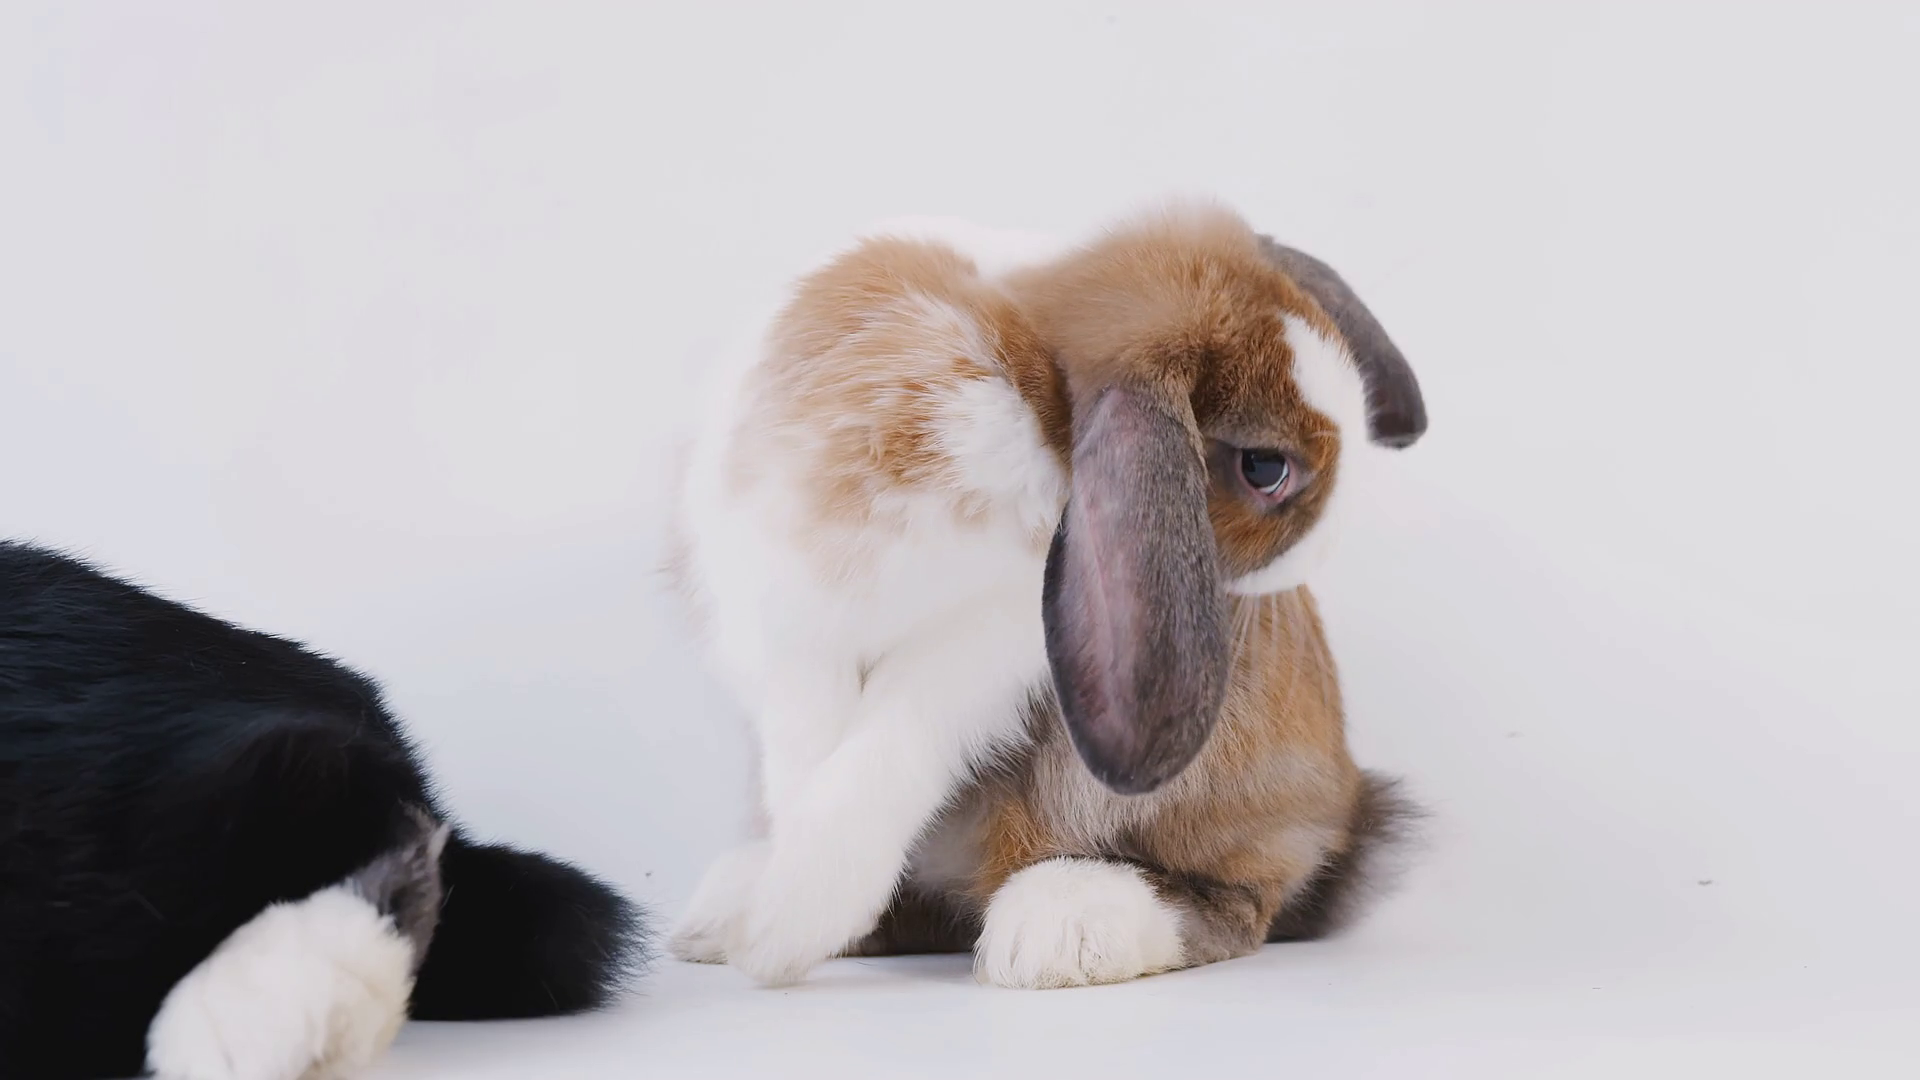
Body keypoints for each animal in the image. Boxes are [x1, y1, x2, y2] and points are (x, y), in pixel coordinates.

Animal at [668, 201, 1425, 988]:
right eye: (1266, 468)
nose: (1327, 546)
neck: (1020, 378)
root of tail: (1347, 813)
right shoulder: (781, 616)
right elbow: (805, 761)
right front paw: (781, 914)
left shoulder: (987, 647)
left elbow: (888, 748)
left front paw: (785, 926)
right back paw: (728, 912)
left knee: (1240, 901)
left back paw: (1061, 924)